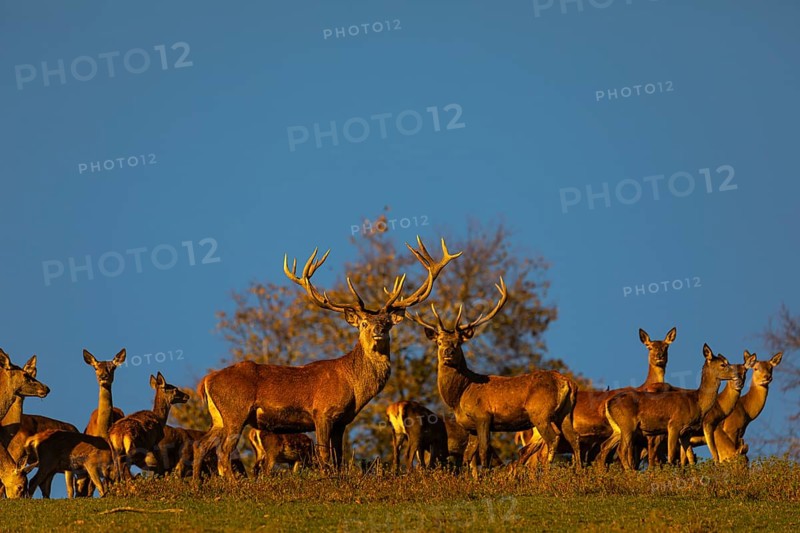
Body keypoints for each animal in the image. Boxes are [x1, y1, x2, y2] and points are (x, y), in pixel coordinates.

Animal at [192, 237, 459, 479]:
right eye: (364, 323)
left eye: (387, 323)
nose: (378, 332)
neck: (353, 386)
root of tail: (206, 381)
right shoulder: (322, 411)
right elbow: (323, 455)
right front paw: (326, 479)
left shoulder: (342, 421)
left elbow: (339, 457)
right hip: (235, 411)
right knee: (224, 451)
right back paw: (234, 483)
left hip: (218, 416)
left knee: (201, 444)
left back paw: (197, 484)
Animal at [407, 278, 581, 469]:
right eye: (439, 342)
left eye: (459, 342)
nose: (448, 352)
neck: (460, 395)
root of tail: (568, 383)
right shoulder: (470, 426)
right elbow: (468, 456)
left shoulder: (483, 416)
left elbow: (484, 451)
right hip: (565, 412)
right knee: (574, 437)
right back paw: (578, 470)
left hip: (540, 412)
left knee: (553, 438)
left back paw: (547, 470)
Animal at [599, 344, 738, 469]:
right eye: (723, 364)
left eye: (727, 362)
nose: (736, 375)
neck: (697, 402)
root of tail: (608, 403)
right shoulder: (674, 424)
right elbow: (671, 457)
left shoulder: (686, 432)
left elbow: (690, 459)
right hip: (628, 425)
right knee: (621, 450)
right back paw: (630, 473)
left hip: (617, 428)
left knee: (604, 446)